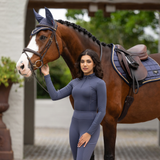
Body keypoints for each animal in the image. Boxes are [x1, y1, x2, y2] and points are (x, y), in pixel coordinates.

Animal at [15, 7, 160, 160]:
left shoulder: (110, 122)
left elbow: (108, 155)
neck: (100, 69)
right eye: (30, 37)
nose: (21, 66)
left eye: (42, 37)